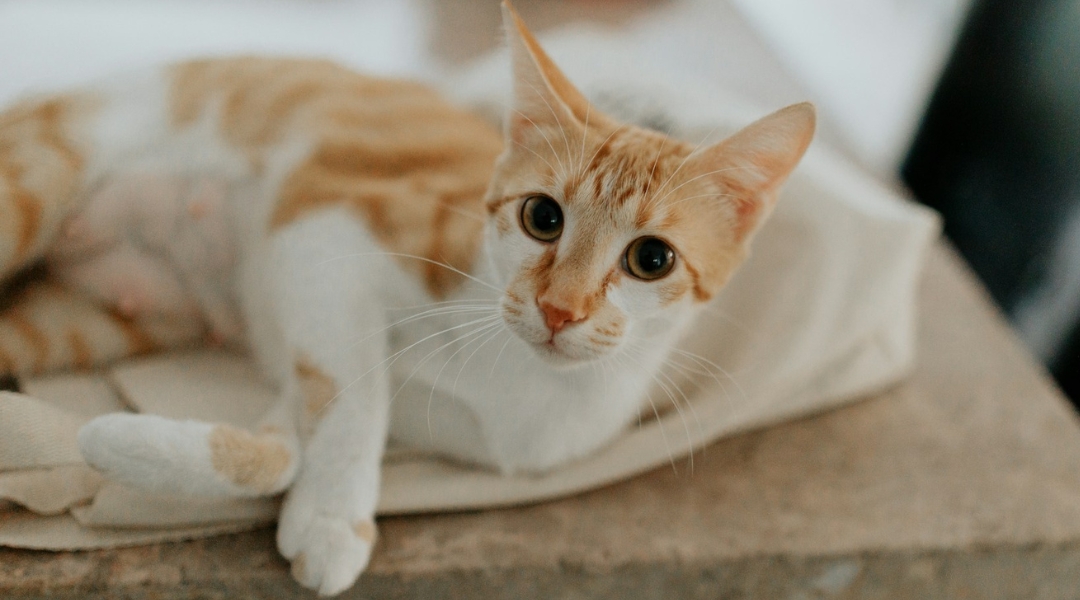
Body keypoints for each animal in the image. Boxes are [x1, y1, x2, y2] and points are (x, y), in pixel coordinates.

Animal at [0, 3, 812, 595]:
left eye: (652, 259)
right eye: (542, 217)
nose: (559, 311)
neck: (518, 382)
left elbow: (287, 445)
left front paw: (125, 443)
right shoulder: (320, 232)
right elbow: (354, 397)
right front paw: (336, 520)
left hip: (90, 320)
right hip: (37, 181)